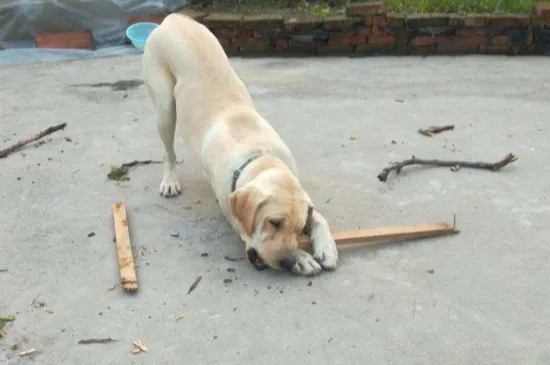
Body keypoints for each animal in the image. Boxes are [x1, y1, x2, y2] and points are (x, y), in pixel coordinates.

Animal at [142, 14, 338, 276]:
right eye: (273, 222)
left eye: (299, 229)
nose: (287, 261)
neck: (258, 155)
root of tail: (173, 18)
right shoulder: (233, 214)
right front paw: (302, 257)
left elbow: (318, 218)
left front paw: (326, 246)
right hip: (164, 107)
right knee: (168, 151)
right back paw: (170, 181)